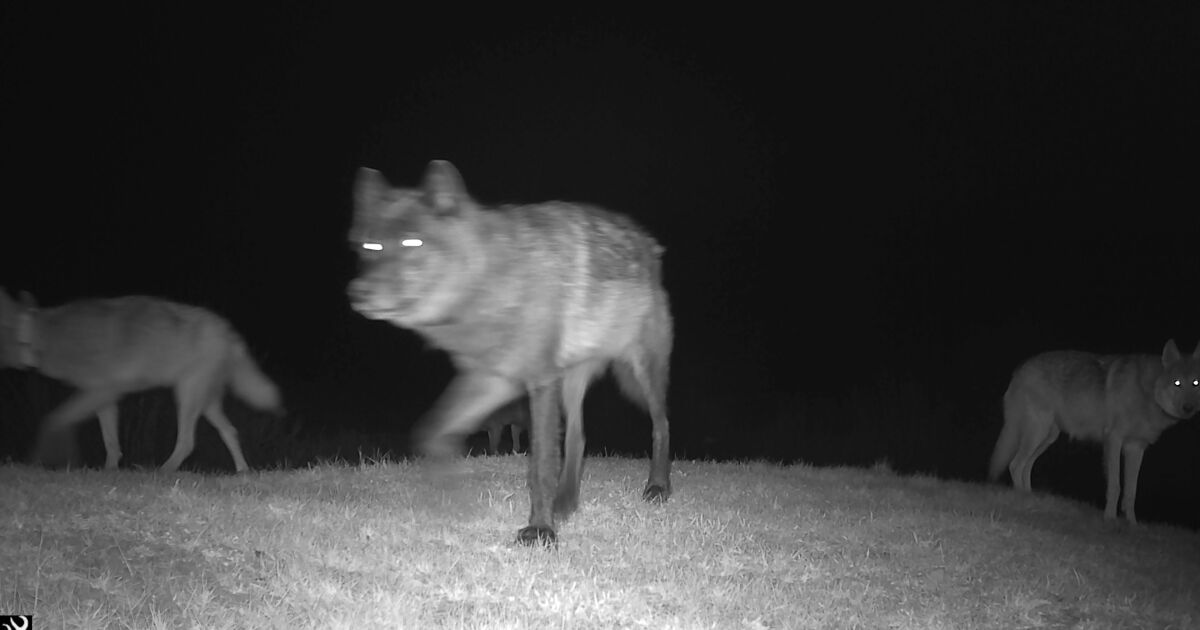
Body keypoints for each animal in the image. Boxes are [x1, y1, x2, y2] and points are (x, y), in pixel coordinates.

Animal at [0, 288, 282, 472]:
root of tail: (228, 329)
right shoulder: (104, 397)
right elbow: (111, 442)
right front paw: (109, 471)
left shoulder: (101, 392)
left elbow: (52, 421)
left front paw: (38, 462)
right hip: (206, 404)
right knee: (230, 431)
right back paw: (242, 472)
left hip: (186, 396)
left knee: (188, 442)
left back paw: (161, 472)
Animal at [348, 160, 673, 545]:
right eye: (371, 245)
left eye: (412, 241)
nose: (358, 293)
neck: (495, 280)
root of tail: (648, 242)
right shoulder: (492, 379)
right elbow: (431, 432)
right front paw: (454, 502)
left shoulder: (539, 379)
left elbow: (540, 464)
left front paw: (541, 529)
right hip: (570, 381)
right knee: (578, 437)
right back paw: (567, 502)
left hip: (639, 371)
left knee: (661, 423)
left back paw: (657, 487)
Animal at [989, 339, 1200, 523]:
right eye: (1177, 383)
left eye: (1196, 383)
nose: (1188, 408)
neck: (1147, 392)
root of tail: (1020, 369)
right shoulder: (1114, 440)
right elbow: (1115, 486)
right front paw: (1110, 519)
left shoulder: (1136, 448)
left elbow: (1131, 491)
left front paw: (1132, 524)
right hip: (1037, 432)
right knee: (1015, 464)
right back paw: (1021, 498)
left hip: (1047, 437)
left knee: (1026, 466)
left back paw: (1029, 496)